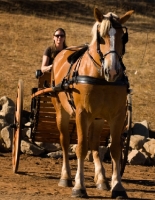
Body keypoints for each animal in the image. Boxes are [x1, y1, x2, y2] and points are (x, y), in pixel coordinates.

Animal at [51, 7, 134, 198]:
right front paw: (79, 186)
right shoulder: (82, 114)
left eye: (123, 37)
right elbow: (81, 147)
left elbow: (115, 149)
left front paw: (117, 186)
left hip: (98, 119)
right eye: (101, 37)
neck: (101, 77)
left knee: (95, 144)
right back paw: (66, 176)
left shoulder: (118, 116)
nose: (113, 71)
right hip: (61, 111)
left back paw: (102, 180)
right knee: (65, 142)